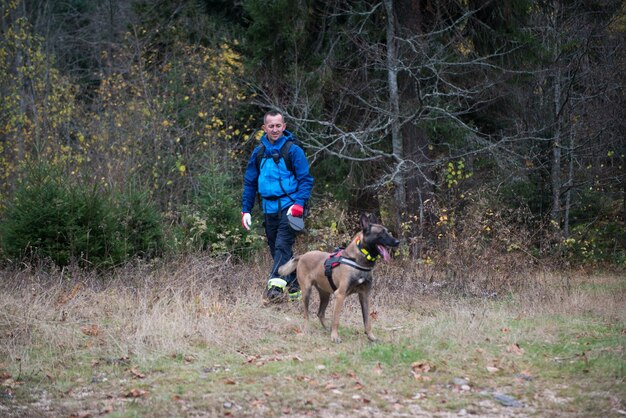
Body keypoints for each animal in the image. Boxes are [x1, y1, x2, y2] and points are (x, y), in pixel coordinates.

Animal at [280, 214, 400, 342]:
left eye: (388, 231)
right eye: (381, 233)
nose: (398, 242)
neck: (357, 260)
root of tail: (302, 256)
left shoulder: (365, 295)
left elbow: (367, 320)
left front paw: (371, 336)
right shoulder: (340, 295)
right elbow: (336, 319)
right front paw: (335, 336)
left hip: (325, 295)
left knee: (320, 313)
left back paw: (326, 329)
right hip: (306, 291)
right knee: (306, 314)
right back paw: (307, 329)